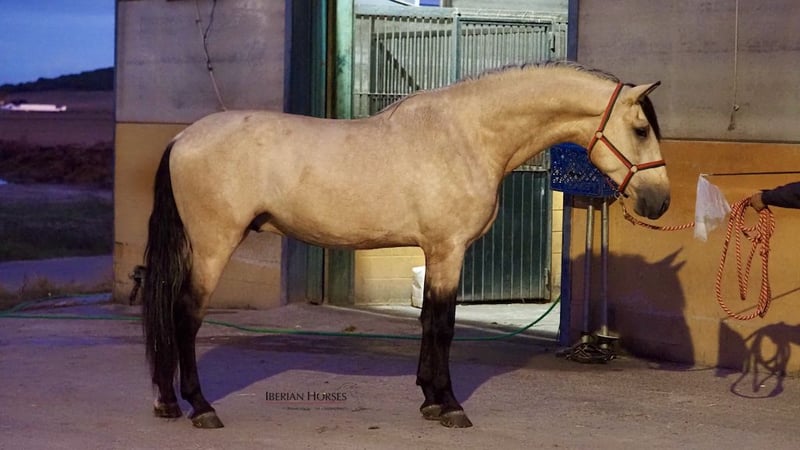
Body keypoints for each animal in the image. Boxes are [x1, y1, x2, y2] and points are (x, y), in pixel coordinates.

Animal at [141, 60, 670, 429]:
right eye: (641, 129)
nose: (659, 201)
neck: (467, 135)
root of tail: (183, 138)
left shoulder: (435, 251)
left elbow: (428, 322)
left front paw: (430, 400)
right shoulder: (449, 250)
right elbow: (443, 325)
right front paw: (450, 405)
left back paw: (167, 401)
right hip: (214, 245)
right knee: (185, 315)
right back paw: (201, 407)